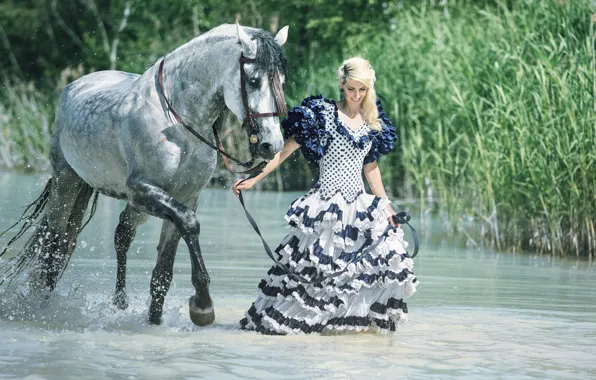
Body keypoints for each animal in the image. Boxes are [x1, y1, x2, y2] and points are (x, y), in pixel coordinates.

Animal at [0, 23, 288, 326]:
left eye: (281, 81)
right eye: (254, 81)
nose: (272, 145)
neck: (178, 124)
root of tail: (74, 86)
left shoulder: (185, 197)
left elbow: (162, 273)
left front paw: (157, 321)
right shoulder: (141, 190)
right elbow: (189, 223)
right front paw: (202, 305)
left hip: (133, 206)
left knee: (120, 235)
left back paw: (119, 302)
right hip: (66, 182)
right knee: (55, 244)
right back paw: (41, 306)